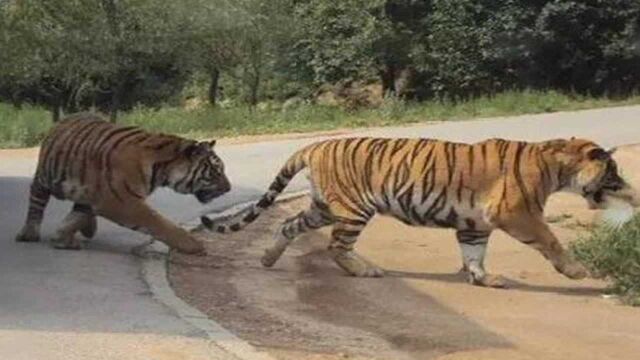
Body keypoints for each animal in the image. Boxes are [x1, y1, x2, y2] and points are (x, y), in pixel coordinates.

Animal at [15, 112, 232, 253]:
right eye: (216, 171)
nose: (229, 188)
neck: (163, 170)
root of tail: (66, 117)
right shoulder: (124, 202)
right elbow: (159, 222)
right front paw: (194, 245)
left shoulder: (102, 198)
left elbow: (75, 218)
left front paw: (62, 238)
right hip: (46, 178)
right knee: (36, 201)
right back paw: (29, 233)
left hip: (84, 189)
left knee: (81, 209)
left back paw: (86, 229)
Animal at [202, 136, 636, 288]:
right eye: (612, 170)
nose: (624, 185)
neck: (557, 167)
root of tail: (316, 144)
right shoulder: (518, 213)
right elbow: (551, 240)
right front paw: (578, 271)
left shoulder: (476, 223)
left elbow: (474, 253)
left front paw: (483, 279)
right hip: (354, 209)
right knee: (336, 247)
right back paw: (366, 270)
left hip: (323, 207)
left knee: (290, 225)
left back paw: (267, 257)